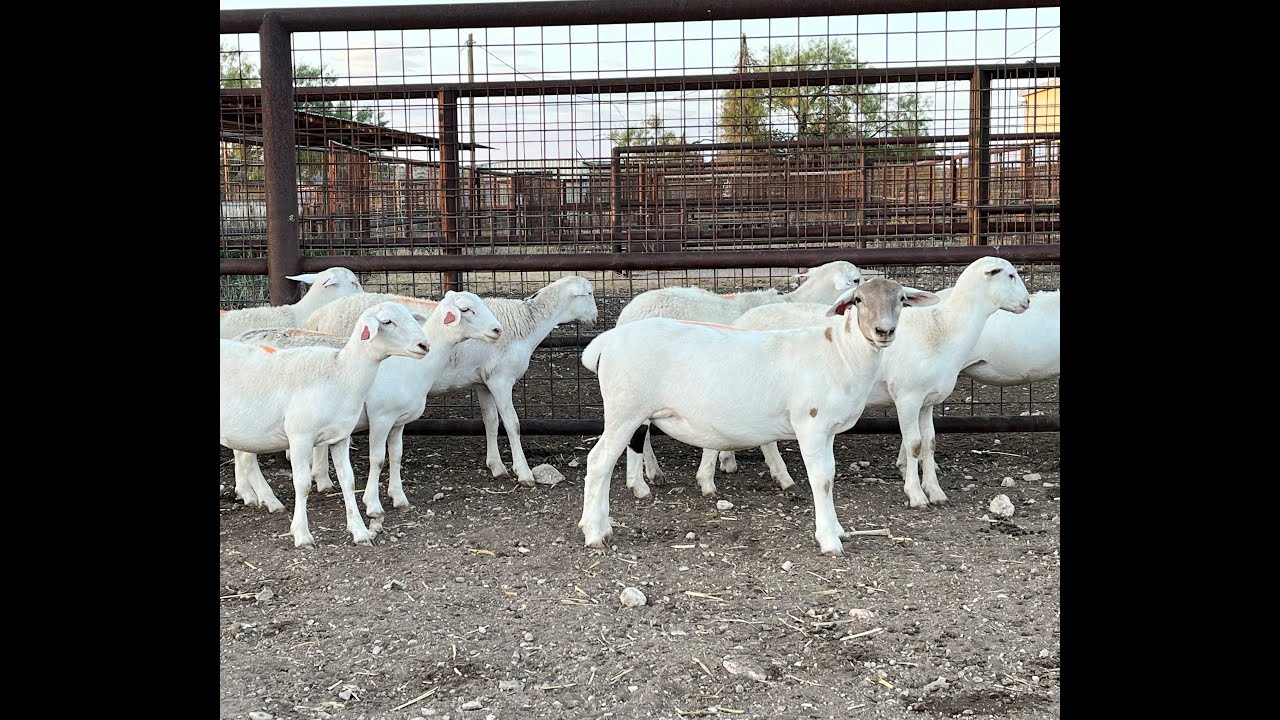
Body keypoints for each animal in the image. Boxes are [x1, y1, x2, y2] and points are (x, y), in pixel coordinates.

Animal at [219, 301, 430, 547]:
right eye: (387, 321)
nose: (425, 345)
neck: (340, 373)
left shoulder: (341, 436)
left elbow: (348, 481)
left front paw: (360, 531)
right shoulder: (300, 437)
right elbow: (302, 484)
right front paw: (302, 535)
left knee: (245, 458)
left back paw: (269, 501)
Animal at [232, 291, 504, 519]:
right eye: (466, 309)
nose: (497, 330)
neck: (410, 368)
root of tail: (240, 337)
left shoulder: (399, 421)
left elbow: (396, 455)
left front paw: (399, 497)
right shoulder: (380, 418)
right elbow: (378, 458)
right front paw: (372, 504)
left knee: (242, 453)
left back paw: (249, 495)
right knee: (246, 457)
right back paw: (268, 500)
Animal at [307, 275, 599, 486]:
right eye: (589, 294)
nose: (596, 318)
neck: (526, 324)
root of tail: (320, 315)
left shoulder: (484, 382)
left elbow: (491, 422)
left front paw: (496, 466)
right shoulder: (501, 379)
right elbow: (513, 424)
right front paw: (524, 472)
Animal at [693, 257, 1032, 508]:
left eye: (902, 299)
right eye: (1010, 275)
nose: (1028, 302)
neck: (944, 329)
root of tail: (741, 320)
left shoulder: (928, 401)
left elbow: (930, 443)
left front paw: (935, 491)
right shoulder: (907, 396)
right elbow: (913, 444)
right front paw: (915, 494)